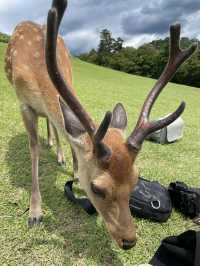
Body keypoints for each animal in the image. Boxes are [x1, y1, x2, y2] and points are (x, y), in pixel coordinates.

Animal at [4, 0, 197, 250]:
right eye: (97, 188)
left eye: (136, 179)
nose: (129, 240)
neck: (37, 75)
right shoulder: (23, 104)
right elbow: (33, 149)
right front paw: (35, 213)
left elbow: (69, 136)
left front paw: (75, 173)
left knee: (55, 125)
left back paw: (58, 152)